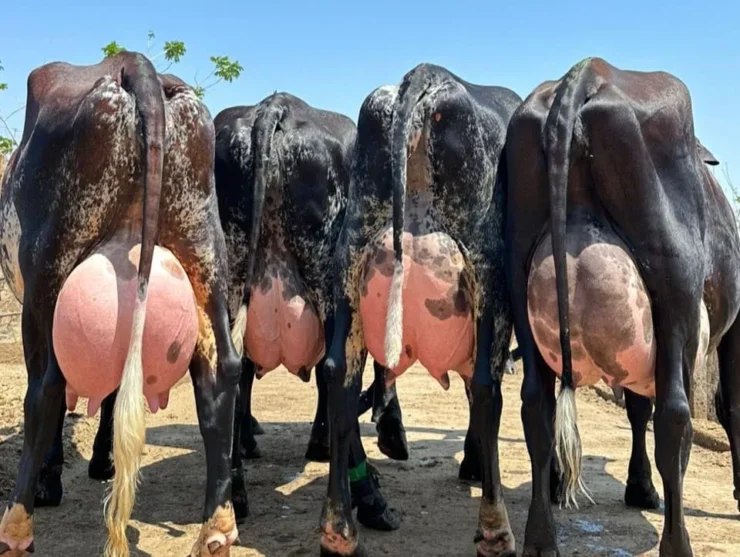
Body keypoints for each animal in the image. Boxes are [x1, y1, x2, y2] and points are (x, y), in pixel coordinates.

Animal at [0, 52, 242, 557]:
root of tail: (132, 64)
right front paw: (101, 461)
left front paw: (55, 477)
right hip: (203, 246)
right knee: (221, 370)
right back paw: (216, 526)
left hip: (47, 271)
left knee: (46, 386)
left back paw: (16, 523)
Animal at [214, 92, 402, 530]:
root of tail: (274, 107)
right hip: (332, 284)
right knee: (338, 373)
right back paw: (368, 497)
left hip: (230, 280)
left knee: (231, 372)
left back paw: (234, 492)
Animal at [320, 63, 522, 556]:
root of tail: (426, 76)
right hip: (488, 273)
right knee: (487, 388)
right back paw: (496, 530)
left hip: (348, 262)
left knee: (339, 376)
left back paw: (339, 532)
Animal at [506, 56, 740, 557]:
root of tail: (590, 72)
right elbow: (727, 406)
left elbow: (635, 406)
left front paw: (639, 488)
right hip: (675, 297)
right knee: (674, 417)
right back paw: (677, 543)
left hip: (519, 280)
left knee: (536, 407)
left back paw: (540, 537)